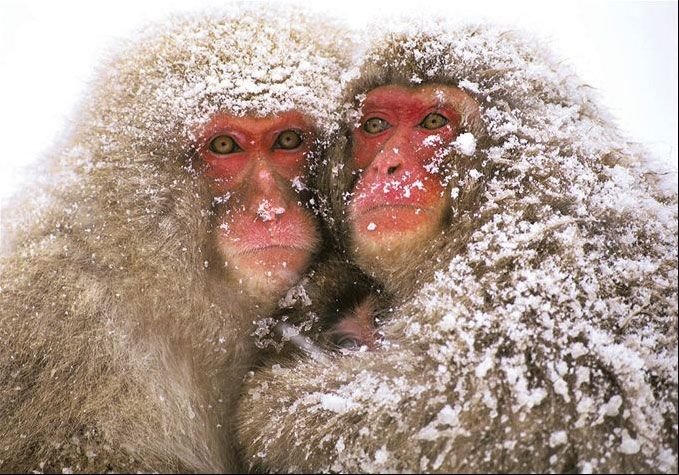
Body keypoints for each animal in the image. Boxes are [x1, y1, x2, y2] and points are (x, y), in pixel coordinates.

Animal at [237, 22, 678, 473]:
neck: (497, 177)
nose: (387, 167)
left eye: (433, 121)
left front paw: (263, 406)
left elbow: (458, 404)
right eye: (375, 126)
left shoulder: (527, 265)